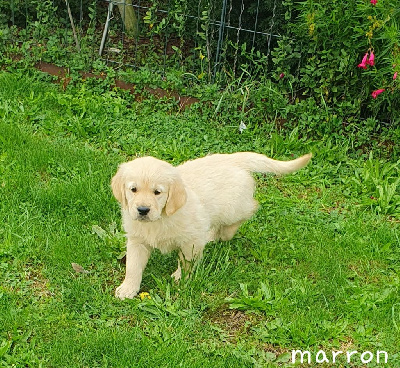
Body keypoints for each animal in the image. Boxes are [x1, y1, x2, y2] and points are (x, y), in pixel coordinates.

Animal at [111, 152, 310, 300]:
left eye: (157, 192)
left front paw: (181, 277)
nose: (142, 210)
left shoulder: (190, 240)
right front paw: (128, 288)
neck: (161, 218)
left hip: (232, 208)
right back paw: (211, 236)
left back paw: (224, 232)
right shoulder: (137, 241)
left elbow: (186, 262)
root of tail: (233, 158)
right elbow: (133, 266)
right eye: (133, 189)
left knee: (249, 210)